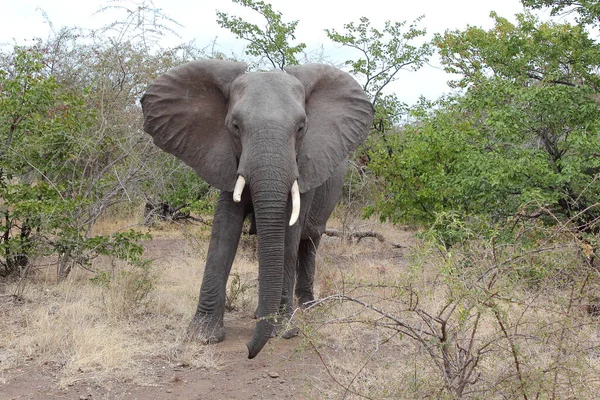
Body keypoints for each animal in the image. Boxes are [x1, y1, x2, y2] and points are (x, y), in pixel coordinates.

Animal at [142, 60, 372, 360]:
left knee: (309, 242)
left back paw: (306, 307)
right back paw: (260, 315)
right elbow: (224, 229)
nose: (249, 351)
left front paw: (283, 330)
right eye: (235, 126)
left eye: (301, 128)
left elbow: (288, 233)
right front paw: (203, 336)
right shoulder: (225, 158)